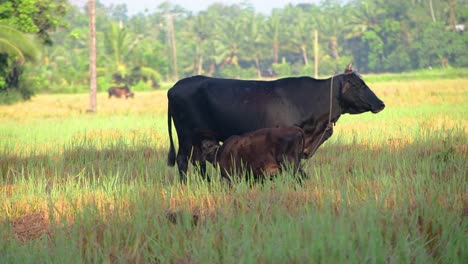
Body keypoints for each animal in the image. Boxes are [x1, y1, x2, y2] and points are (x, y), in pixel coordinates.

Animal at [167, 63, 384, 183]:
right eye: (359, 84)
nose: (381, 103)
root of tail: (175, 87)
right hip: (186, 137)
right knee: (183, 161)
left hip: (199, 137)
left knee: (199, 162)